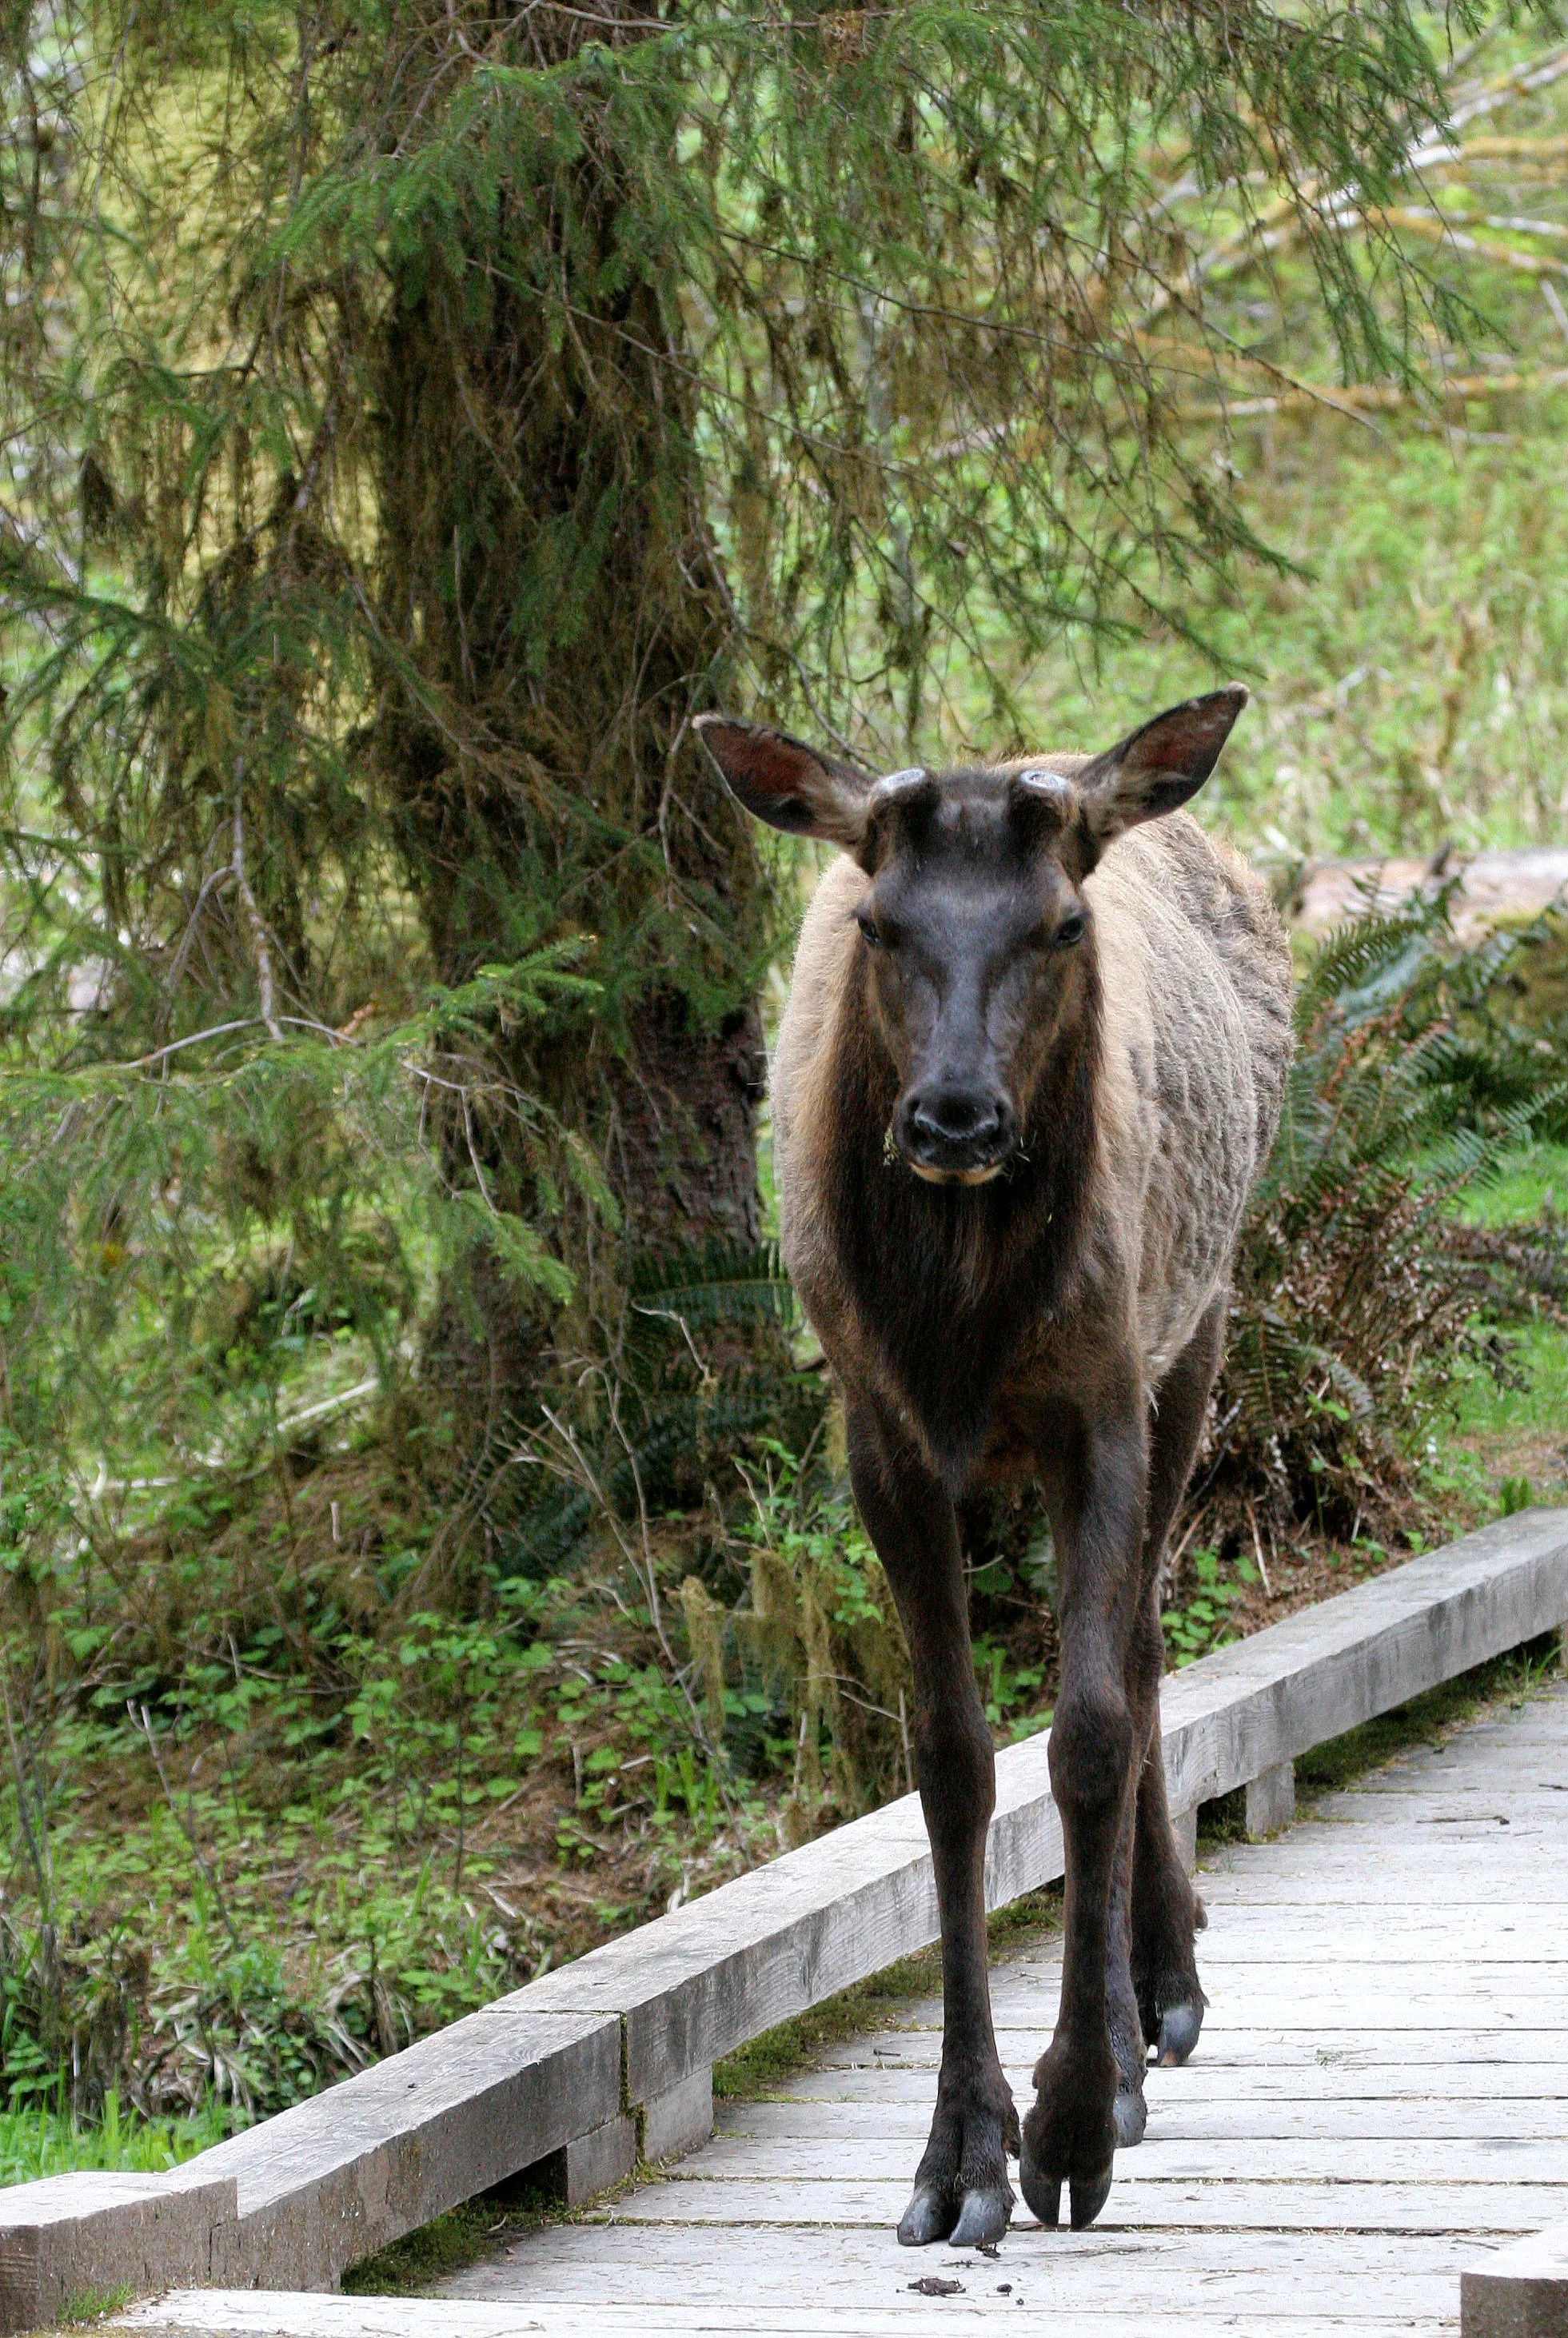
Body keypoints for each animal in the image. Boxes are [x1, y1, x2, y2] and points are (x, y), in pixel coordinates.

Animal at [695, 688, 1293, 2248]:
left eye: (1060, 923)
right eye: (880, 922)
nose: (952, 1117)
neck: (961, 1318)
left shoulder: (1100, 1399)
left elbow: (1084, 1730)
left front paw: (1069, 2117)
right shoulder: (880, 1437)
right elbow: (950, 1761)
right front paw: (960, 2147)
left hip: (1201, 1327)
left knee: (1142, 1651)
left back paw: (1157, 1995)